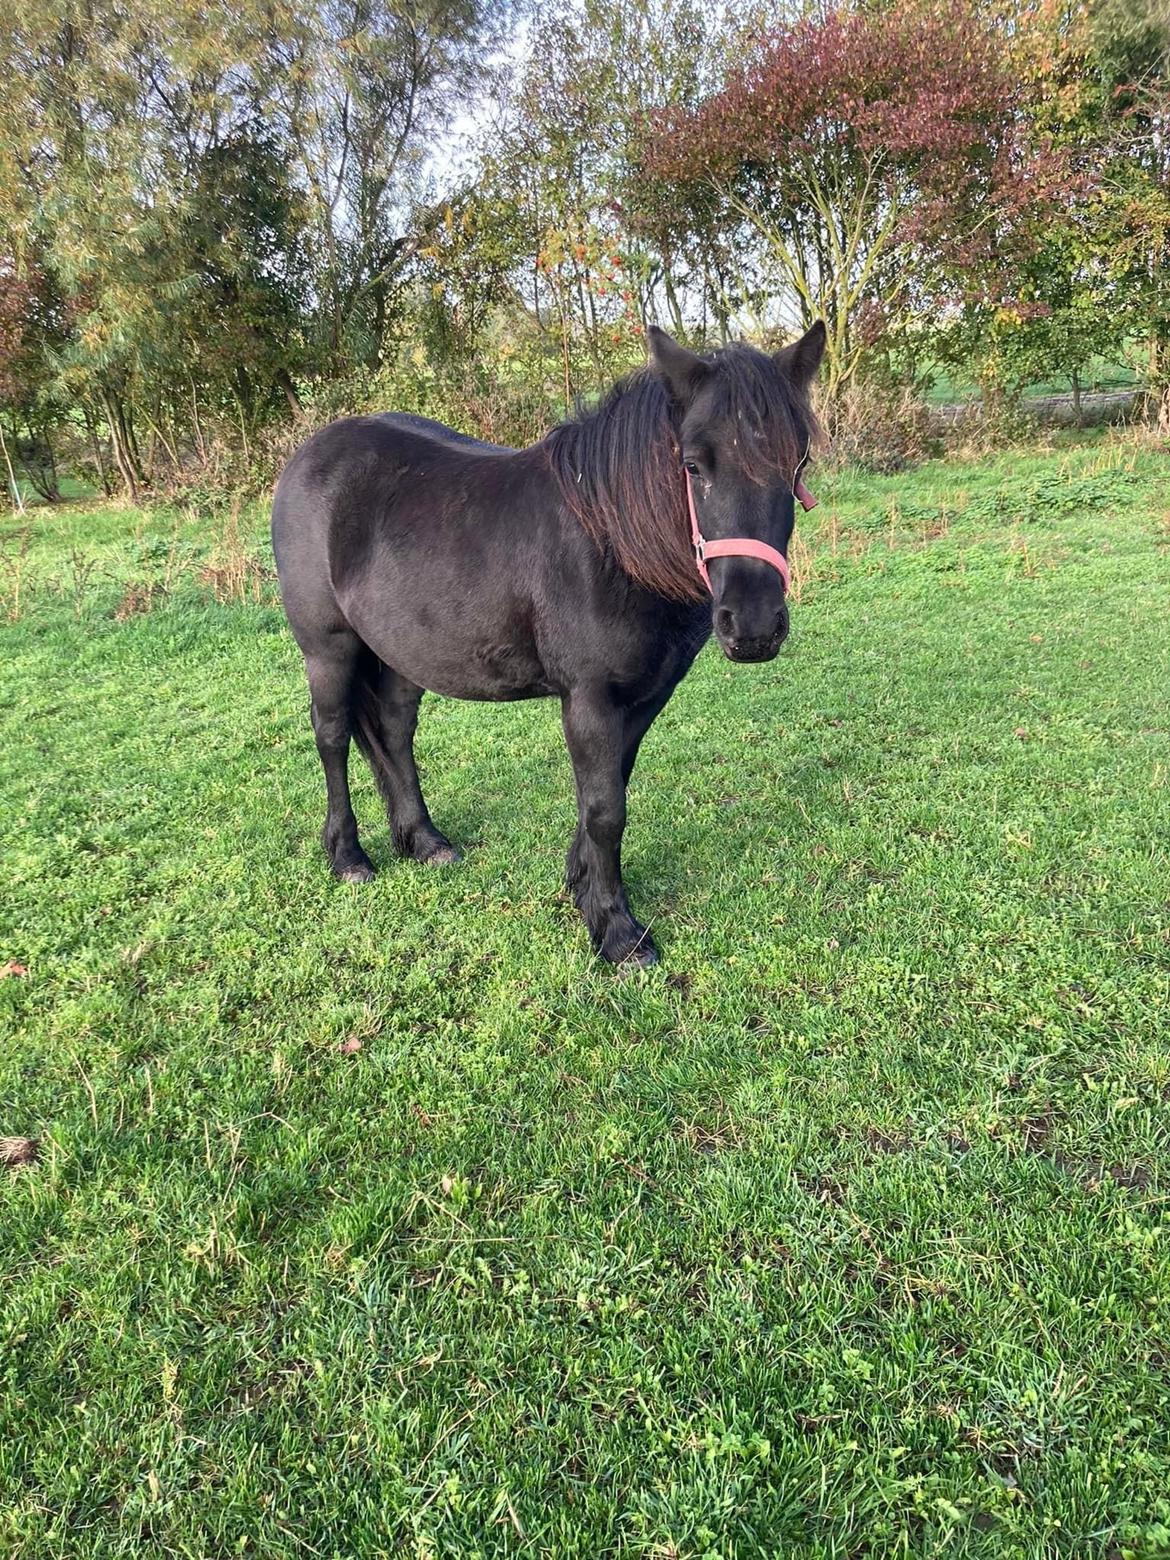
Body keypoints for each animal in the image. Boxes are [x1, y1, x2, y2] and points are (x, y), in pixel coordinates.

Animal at [271, 321, 825, 967]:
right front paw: (617, 931)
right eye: (693, 465)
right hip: (327, 650)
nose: (754, 626)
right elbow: (606, 810)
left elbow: (607, 793)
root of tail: (308, 457)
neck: (609, 542)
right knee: (332, 737)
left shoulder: (644, 697)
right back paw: (348, 856)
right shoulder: (588, 699)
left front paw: (581, 887)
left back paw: (425, 841)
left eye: (798, 460)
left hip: (401, 653)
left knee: (392, 733)